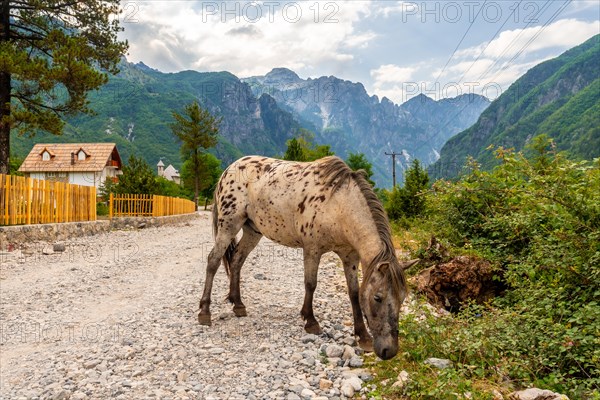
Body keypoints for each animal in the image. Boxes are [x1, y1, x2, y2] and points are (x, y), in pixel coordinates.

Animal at [197, 155, 412, 360]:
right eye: (378, 297)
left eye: (402, 298)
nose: (389, 350)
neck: (338, 204)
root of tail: (229, 169)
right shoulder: (312, 250)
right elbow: (311, 284)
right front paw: (310, 321)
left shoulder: (350, 257)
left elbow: (353, 293)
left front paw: (363, 336)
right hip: (229, 225)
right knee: (213, 260)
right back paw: (205, 312)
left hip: (252, 231)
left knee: (236, 260)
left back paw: (238, 305)